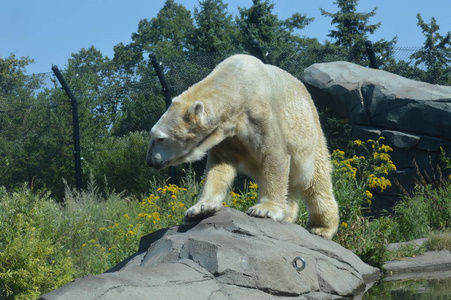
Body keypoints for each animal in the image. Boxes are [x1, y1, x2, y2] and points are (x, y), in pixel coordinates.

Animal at [147, 54, 340, 239]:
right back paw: (287, 214)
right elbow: (220, 166)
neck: (236, 85)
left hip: (310, 133)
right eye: (152, 135)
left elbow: (273, 155)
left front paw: (264, 209)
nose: (150, 162)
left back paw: (321, 228)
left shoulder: (259, 113)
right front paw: (199, 209)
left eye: (160, 138)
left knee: (316, 181)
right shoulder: (226, 134)